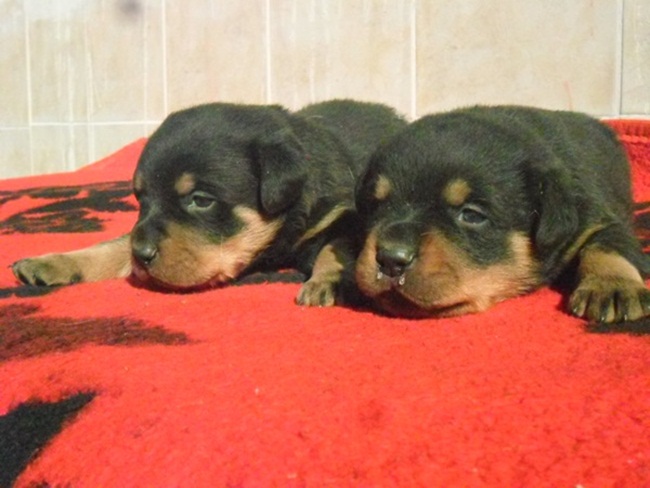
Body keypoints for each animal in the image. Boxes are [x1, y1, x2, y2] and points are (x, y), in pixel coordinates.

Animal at [12, 100, 406, 306]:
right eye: (140, 199)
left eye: (201, 201)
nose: (142, 257)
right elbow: (115, 243)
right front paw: (53, 262)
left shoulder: (345, 216)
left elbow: (334, 248)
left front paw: (327, 282)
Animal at [354, 105, 650, 323]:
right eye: (377, 205)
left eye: (472, 215)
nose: (391, 259)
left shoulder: (594, 216)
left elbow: (609, 244)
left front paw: (613, 286)